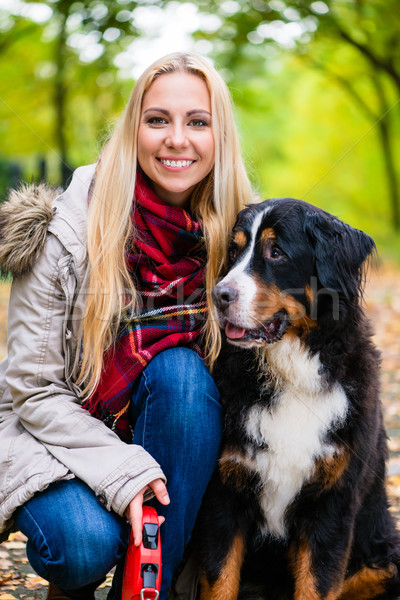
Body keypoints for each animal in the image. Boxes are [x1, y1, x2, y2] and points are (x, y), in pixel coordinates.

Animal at [195, 199, 400, 596]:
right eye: (234, 251)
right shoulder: (223, 494)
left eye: (276, 252)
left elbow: (317, 584)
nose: (219, 296)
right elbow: (220, 580)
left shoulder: (332, 503)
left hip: (383, 557)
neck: (290, 374)